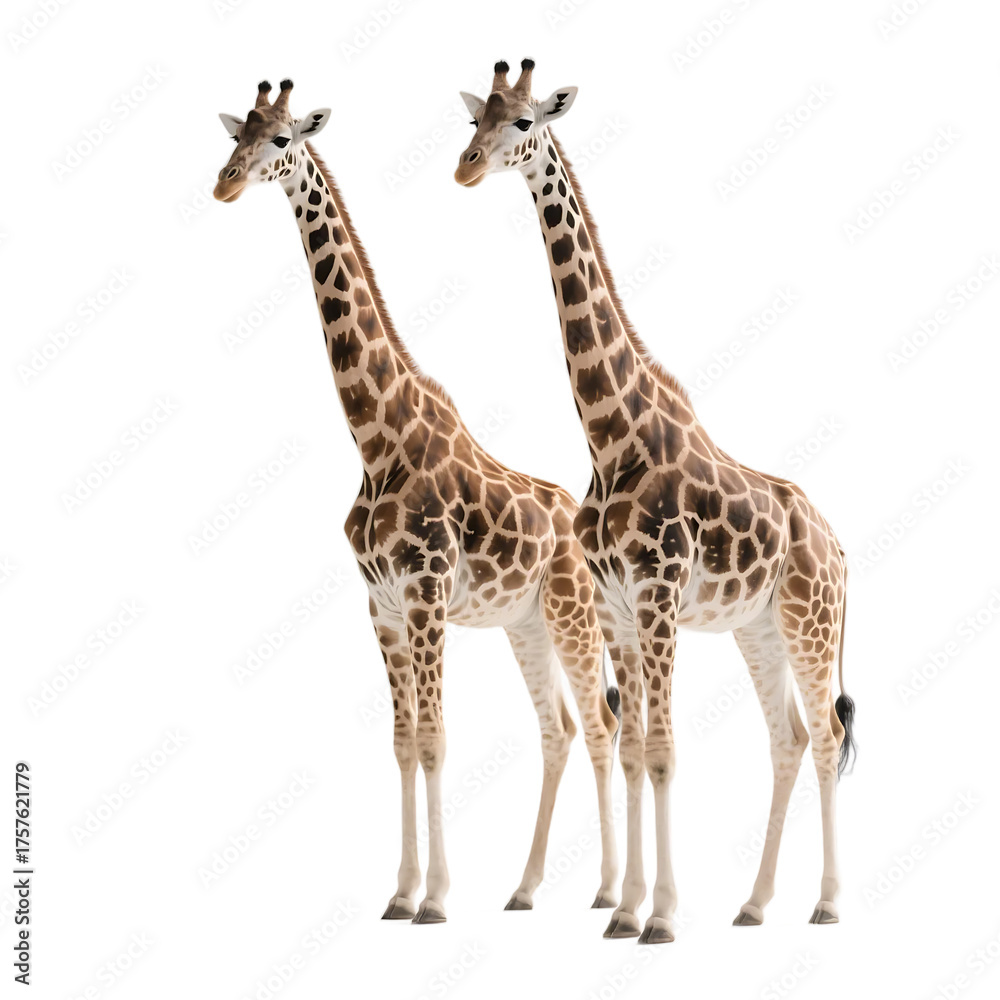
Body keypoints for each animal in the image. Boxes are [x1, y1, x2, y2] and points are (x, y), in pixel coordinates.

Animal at [212, 79, 622, 925]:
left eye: (280, 141)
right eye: (237, 137)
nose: (224, 185)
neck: (375, 438)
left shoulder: (427, 594)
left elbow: (434, 738)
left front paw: (435, 898)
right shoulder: (382, 605)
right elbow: (402, 742)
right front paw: (399, 894)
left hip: (572, 613)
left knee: (599, 723)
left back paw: (603, 889)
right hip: (524, 623)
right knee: (560, 727)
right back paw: (527, 888)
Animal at [455, 60, 856, 943]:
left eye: (525, 122)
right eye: (477, 119)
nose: (465, 168)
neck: (609, 437)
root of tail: (840, 548)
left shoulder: (660, 595)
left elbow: (667, 750)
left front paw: (663, 917)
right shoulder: (619, 609)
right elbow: (637, 747)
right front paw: (628, 906)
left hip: (810, 622)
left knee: (828, 734)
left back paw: (827, 903)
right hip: (758, 629)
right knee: (788, 738)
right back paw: (754, 904)